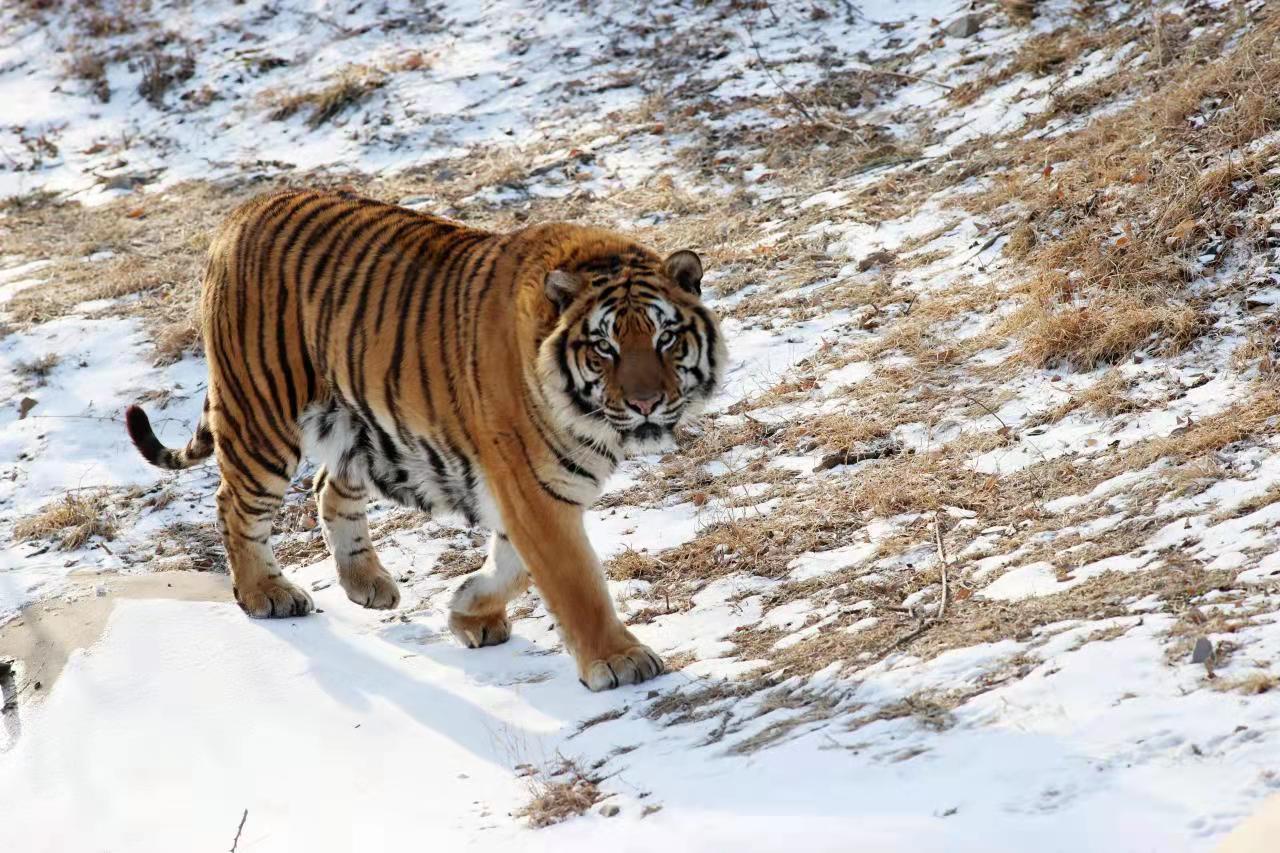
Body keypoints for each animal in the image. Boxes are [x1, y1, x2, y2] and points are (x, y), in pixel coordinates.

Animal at [127, 188, 732, 691]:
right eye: (605, 347)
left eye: (666, 338)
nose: (645, 403)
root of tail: (241, 211)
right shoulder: (533, 488)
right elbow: (575, 580)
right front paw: (618, 660)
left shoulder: (529, 490)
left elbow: (516, 565)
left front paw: (469, 610)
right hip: (262, 417)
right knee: (235, 504)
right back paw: (267, 594)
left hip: (354, 424)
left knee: (328, 486)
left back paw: (366, 582)